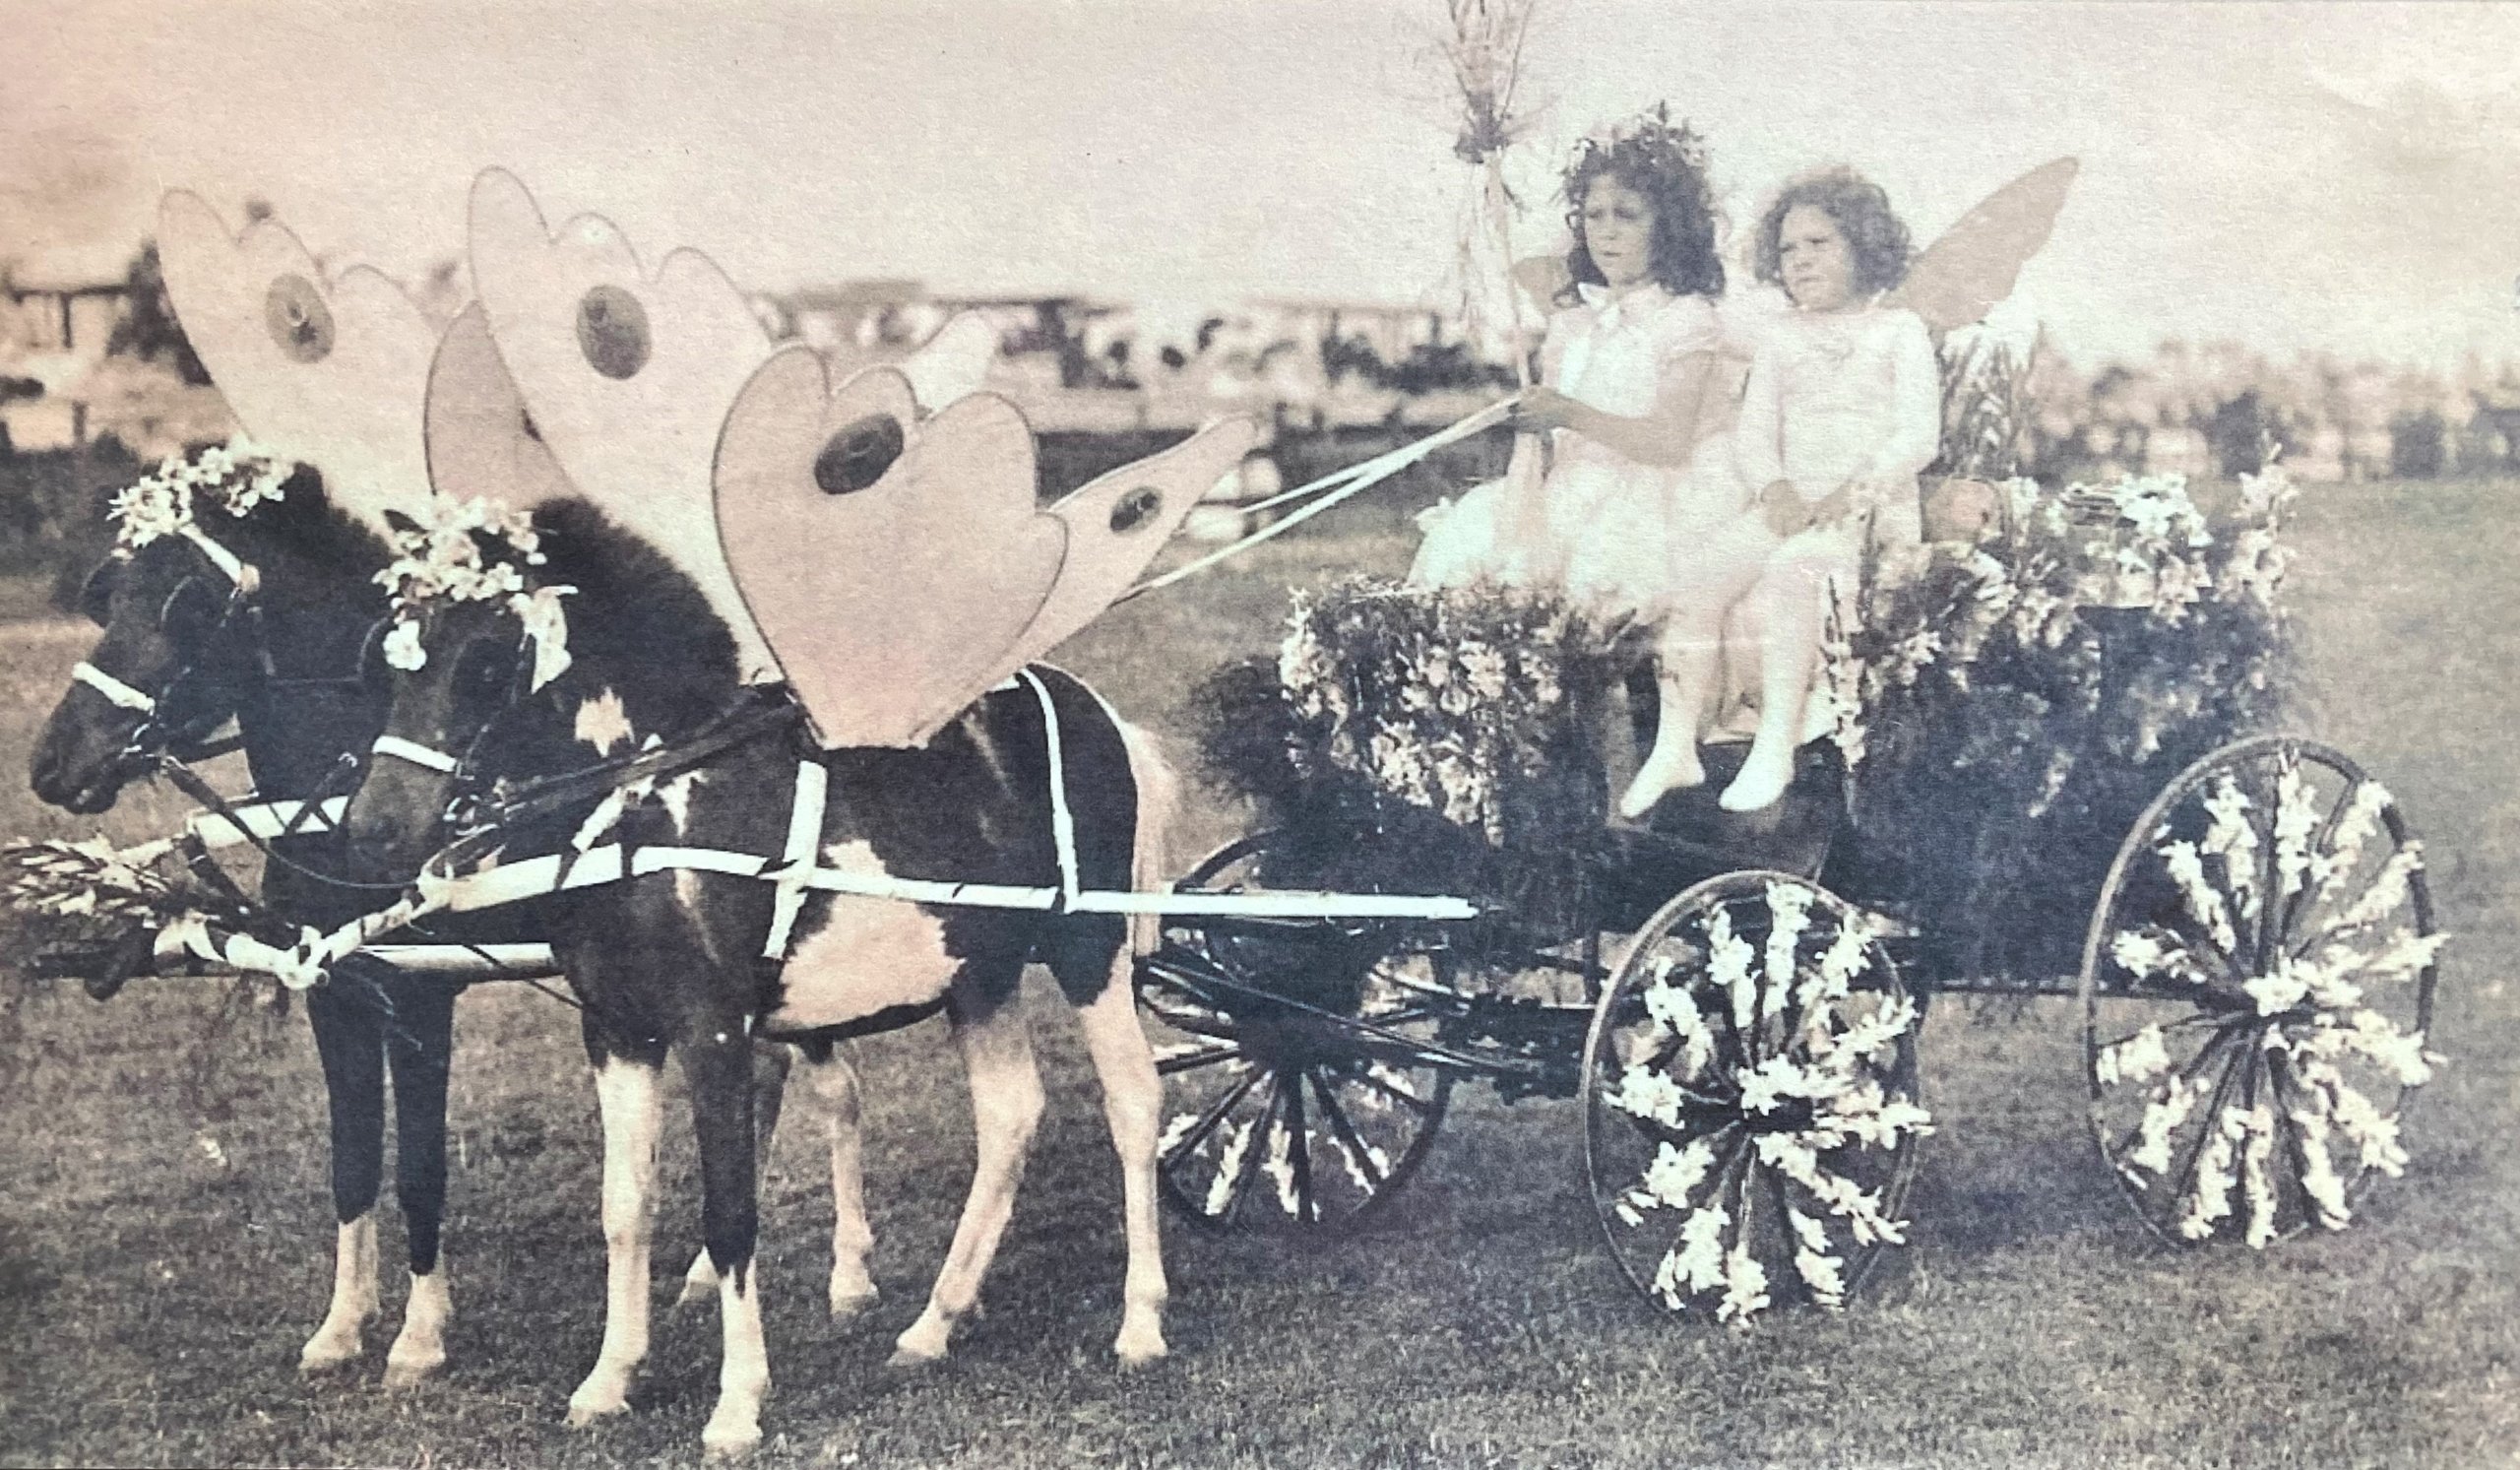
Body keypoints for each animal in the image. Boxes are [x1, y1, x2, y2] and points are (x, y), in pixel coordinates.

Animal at [26, 469, 480, 1381]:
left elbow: (419, 1165)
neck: (344, 801)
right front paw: (342, 1324)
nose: (51, 764)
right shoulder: (332, 991)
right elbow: (353, 1159)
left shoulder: (420, 1000)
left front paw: (419, 1335)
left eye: (185, 608)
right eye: (108, 597)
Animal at [335, 496, 1179, 1462]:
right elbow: (625, 1204)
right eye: (389, 650)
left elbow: (730, 1216)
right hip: (980, 977)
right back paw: (933, 1323)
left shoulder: (715, 1034)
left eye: (483, 656)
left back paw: (1140, 1322)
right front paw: (609, 1380)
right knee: (1010, 1116)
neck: (653, 813)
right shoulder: (616, 1031)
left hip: (1088, 952)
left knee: (1132, 1103)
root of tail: (1100, 713)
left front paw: (737, 1404)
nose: (374, 829)